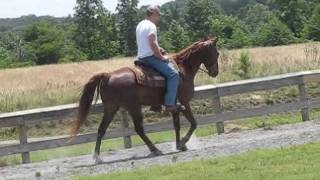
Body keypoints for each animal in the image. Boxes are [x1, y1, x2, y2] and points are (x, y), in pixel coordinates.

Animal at [71, 38, 219, 163]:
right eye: (217, 53)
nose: (215, 72)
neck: (183, 69)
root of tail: (108, 75)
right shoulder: (184, 103)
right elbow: (194, 123)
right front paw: (182, 142)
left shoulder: (175, 107)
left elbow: (176, 125)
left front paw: (179, 145)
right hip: (134, 107)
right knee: (139, 129)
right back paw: (155, 149)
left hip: (111, 108)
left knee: (102, 129)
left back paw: (97, 157)